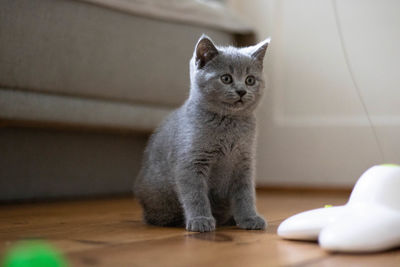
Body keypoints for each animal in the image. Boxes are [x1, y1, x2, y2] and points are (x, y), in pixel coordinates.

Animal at [134, 35, 268, 232]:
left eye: (250, 80)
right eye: (226, 78)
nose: (241, 91)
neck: (229, 124)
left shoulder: (244, 163)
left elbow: (245, 194)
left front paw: (249, 218)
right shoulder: (191, 162)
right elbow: (195, 194)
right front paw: (200, 220)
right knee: (155, 217)